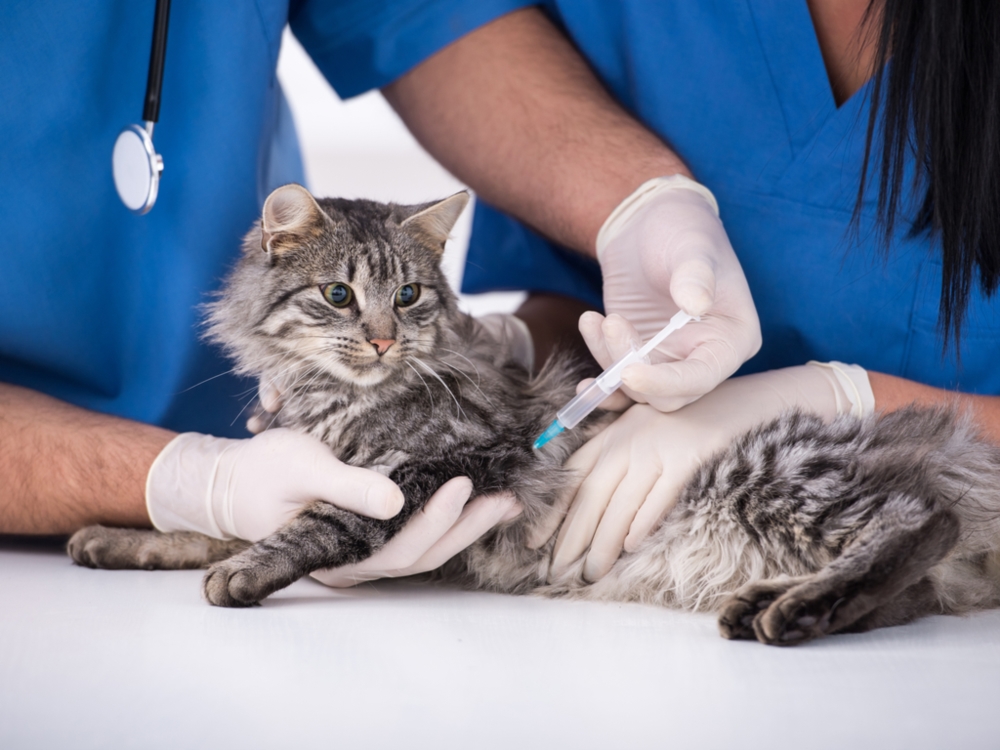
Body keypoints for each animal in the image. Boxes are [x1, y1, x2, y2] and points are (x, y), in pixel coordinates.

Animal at [68, 185, 1000, 648]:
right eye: (338, 296)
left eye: (408, 296)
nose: (380, 339)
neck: (333, 399)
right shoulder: (292, 467)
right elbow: (218, 520)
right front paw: (121, 537)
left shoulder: (457, 460)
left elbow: (317, 523)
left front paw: (244, 574)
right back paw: (775, 603)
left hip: (773, 473)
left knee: (923, 523)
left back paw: (796, 611)